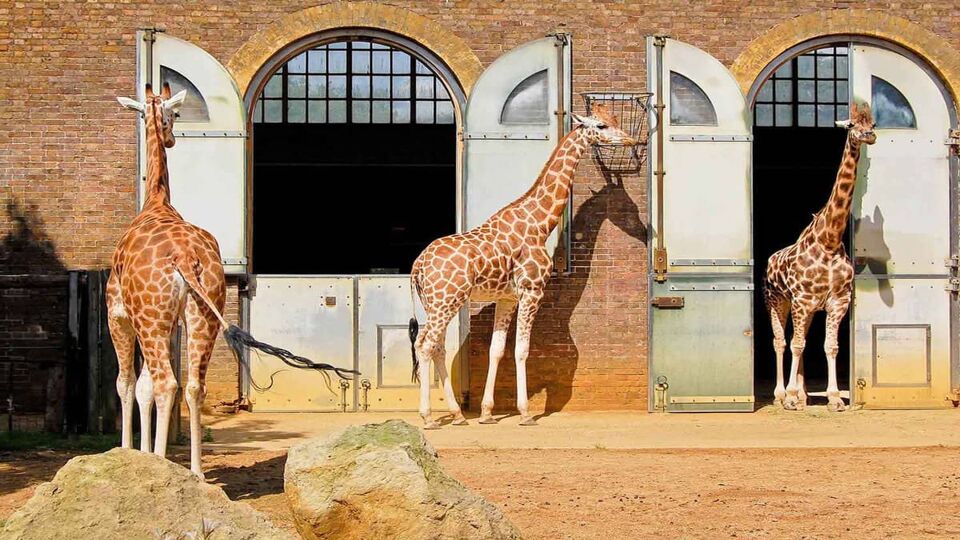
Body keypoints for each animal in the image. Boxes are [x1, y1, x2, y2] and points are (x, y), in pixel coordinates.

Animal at [111, 82, 352, 474]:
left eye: (176, 113)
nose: (172, 138)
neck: (156, 202)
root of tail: (184, 257)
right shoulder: (171, 322)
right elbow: (143, 384)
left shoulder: (118, 313)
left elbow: (128, 382)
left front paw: (134, 455)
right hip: (202, 314)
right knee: (194, 385)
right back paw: (195, 472)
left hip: (153, 318)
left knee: (166, 383)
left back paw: (166, 465)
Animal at [408, 103, 632, 428]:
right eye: (601, 125)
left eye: (615, 120)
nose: (629, 139)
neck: (540, 223)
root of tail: (418, 265)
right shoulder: (532, 291)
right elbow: (523, 350)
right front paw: (525, 412)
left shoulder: (507, 298)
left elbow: (497, 350)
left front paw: (487, 413)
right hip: (446, 301)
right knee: (425, 345)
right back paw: (427, 417)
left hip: (436, 303)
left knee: (433, 346)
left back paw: (458, 414)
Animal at [764, 102, 876, 414]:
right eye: (851, 125)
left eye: (873, 122)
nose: (870, 136)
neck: (829, 240)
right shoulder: (801, 300)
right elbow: (796, 344)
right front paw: (790, 397)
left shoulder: (837, 301)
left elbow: (830, 345)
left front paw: (834, 399)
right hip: (777, 301)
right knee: (782, 341)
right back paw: (781, 395)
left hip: (808, 309)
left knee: (799, 340)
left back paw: (803, 396)